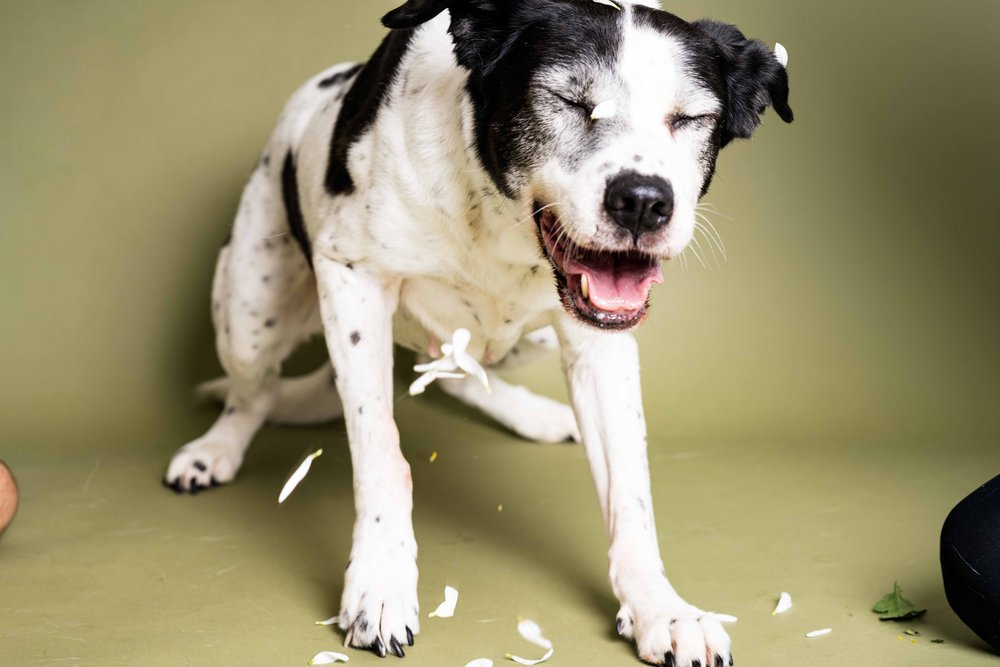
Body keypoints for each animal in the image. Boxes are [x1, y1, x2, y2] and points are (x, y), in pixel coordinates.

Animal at [164, 2, 792, 664]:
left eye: (691, 118)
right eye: (567, 100)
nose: (644, 202)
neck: (496, 213)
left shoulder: (600, 340)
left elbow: (631, 491)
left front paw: (660, 608)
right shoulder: (351, 279)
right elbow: (380, 452)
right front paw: (381, 582)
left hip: (525, 340)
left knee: (458, 374)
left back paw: (533, 415)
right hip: (247, 311)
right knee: (254, 391)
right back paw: (216, 448)